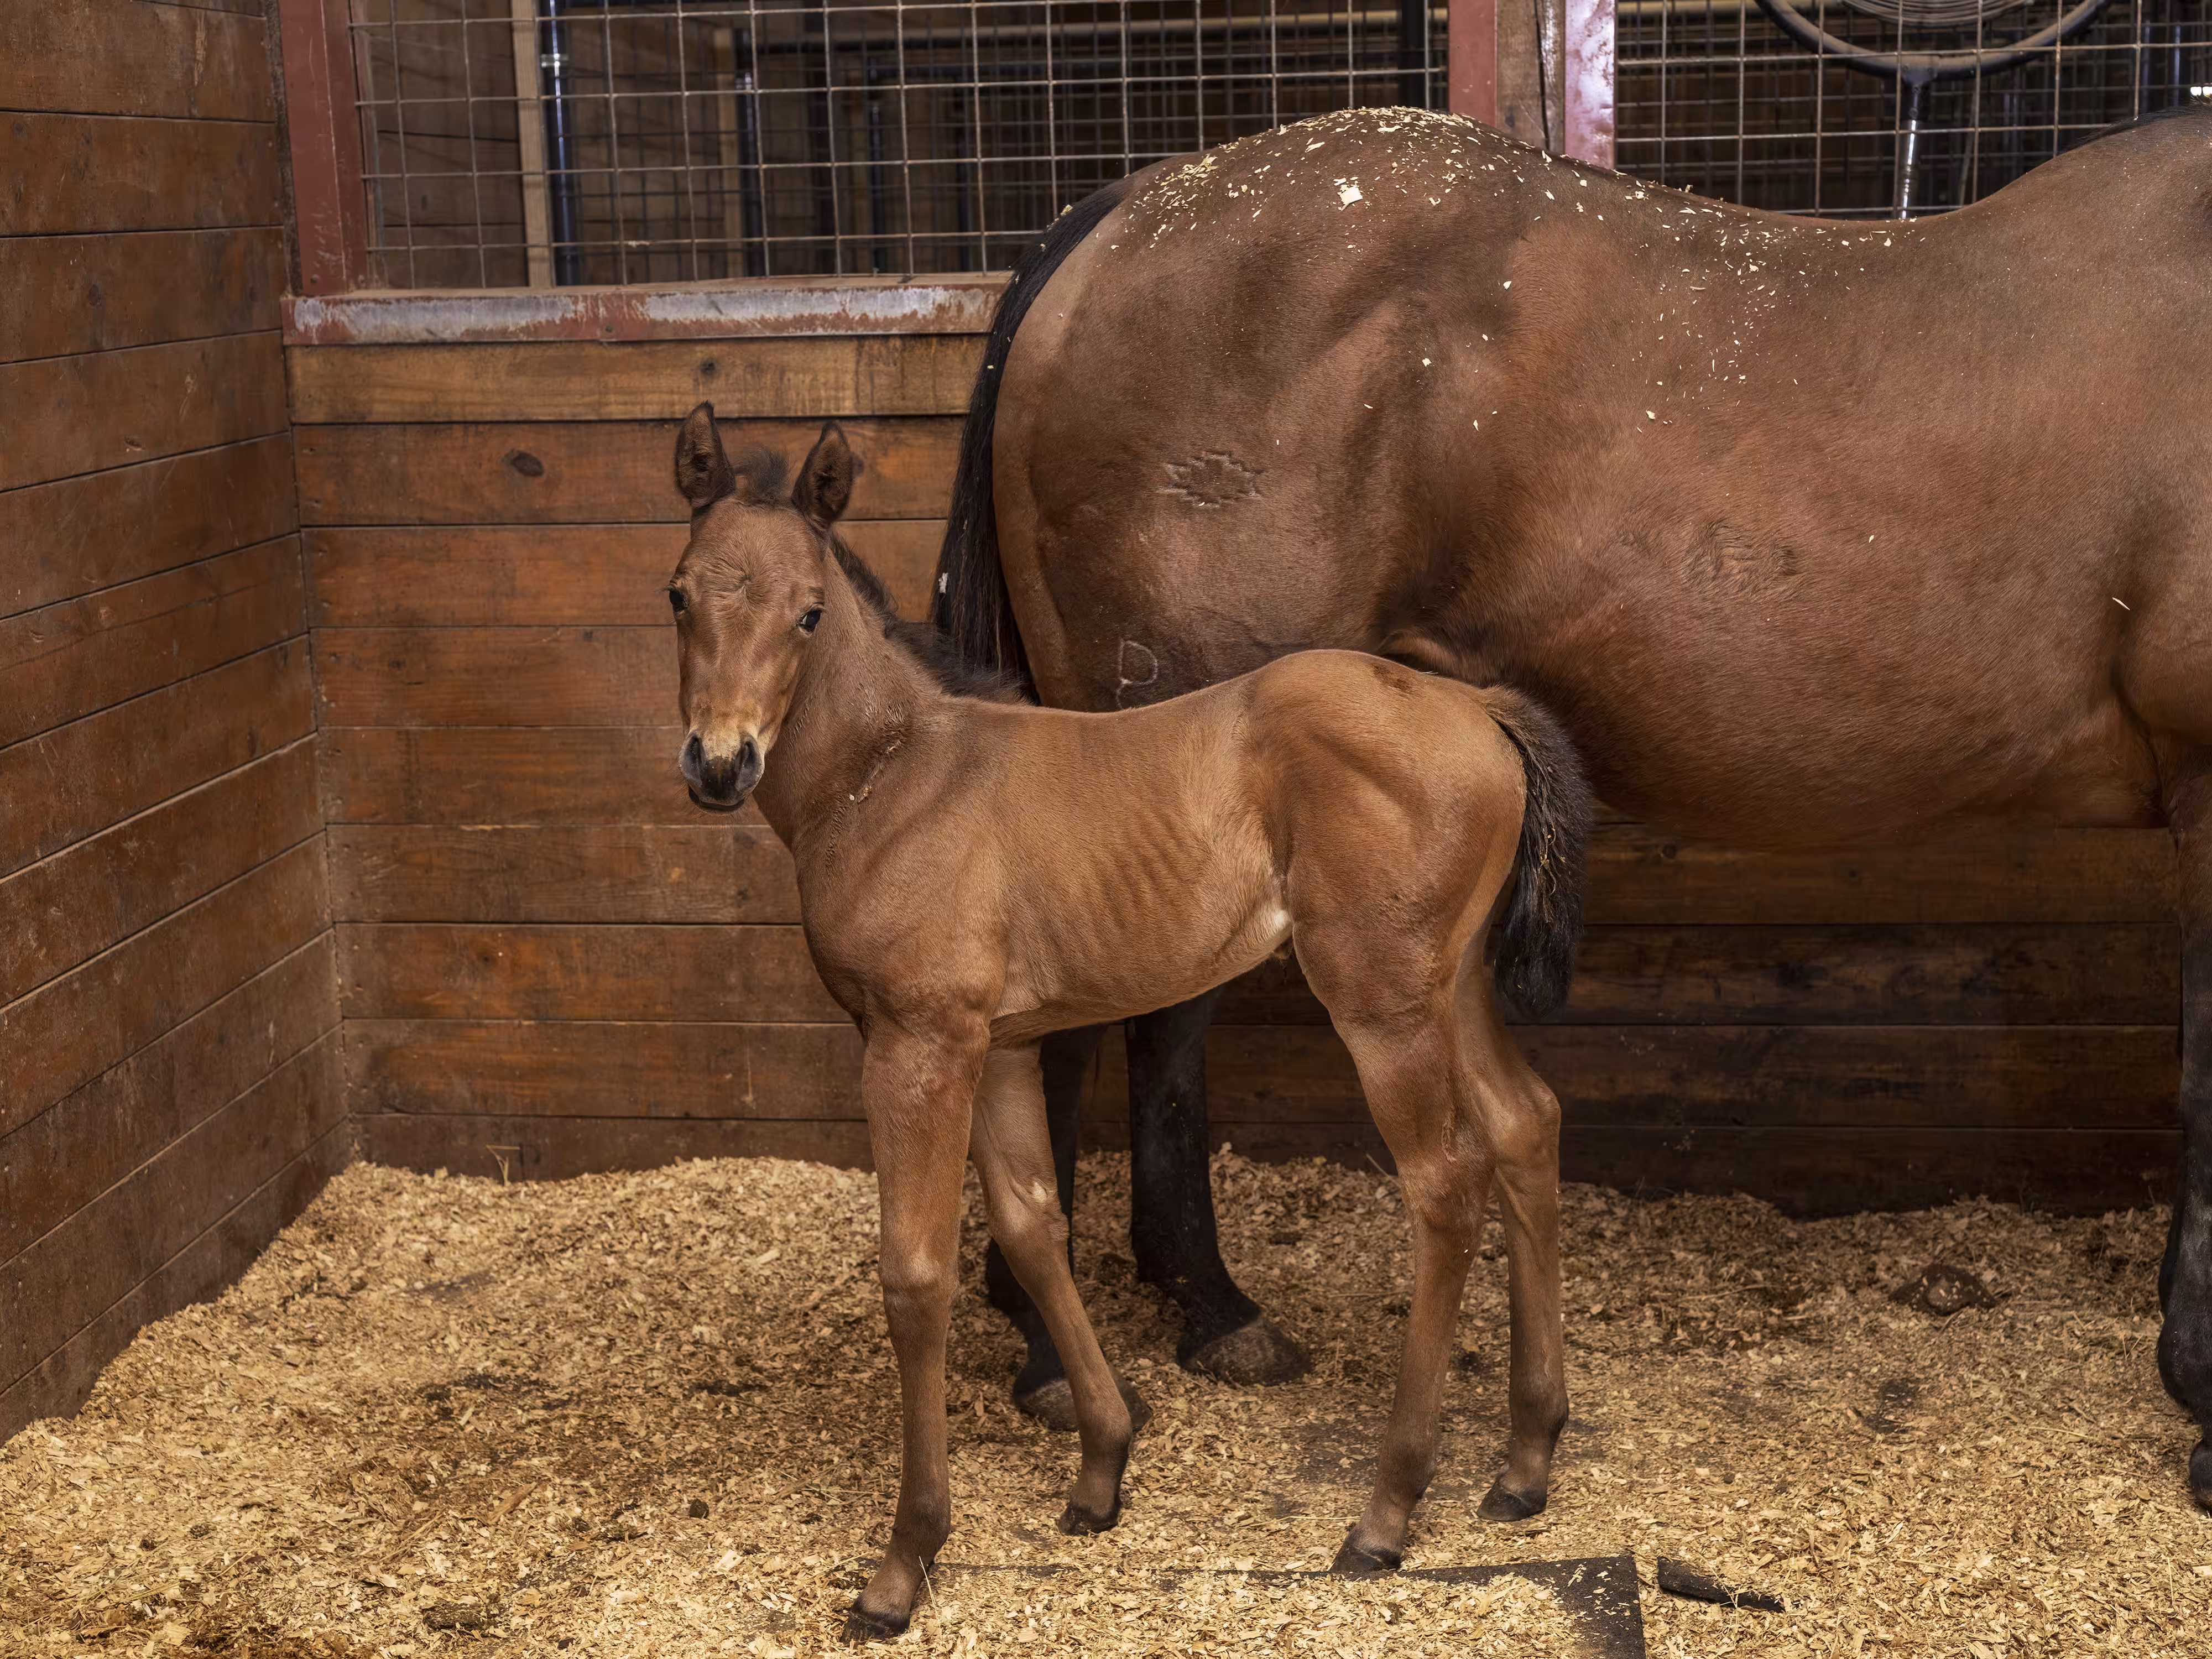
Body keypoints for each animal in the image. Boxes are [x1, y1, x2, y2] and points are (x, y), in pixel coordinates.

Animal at [665, 408, 1592, 1636]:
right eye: (680, 594)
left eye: (808, 611)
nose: (720, 764)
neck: (895, 776)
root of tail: (1474, 704)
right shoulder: (1001, 1044)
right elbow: (1033, 1225)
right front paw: (1102, 1468)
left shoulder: (918, 1042)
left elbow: (914, 1275)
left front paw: (904, 1563)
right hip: (1454, 981)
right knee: (1526, 1123)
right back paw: (1525, 1462)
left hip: (1381, 995)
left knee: (1446, 1183)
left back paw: (1387, 1511)